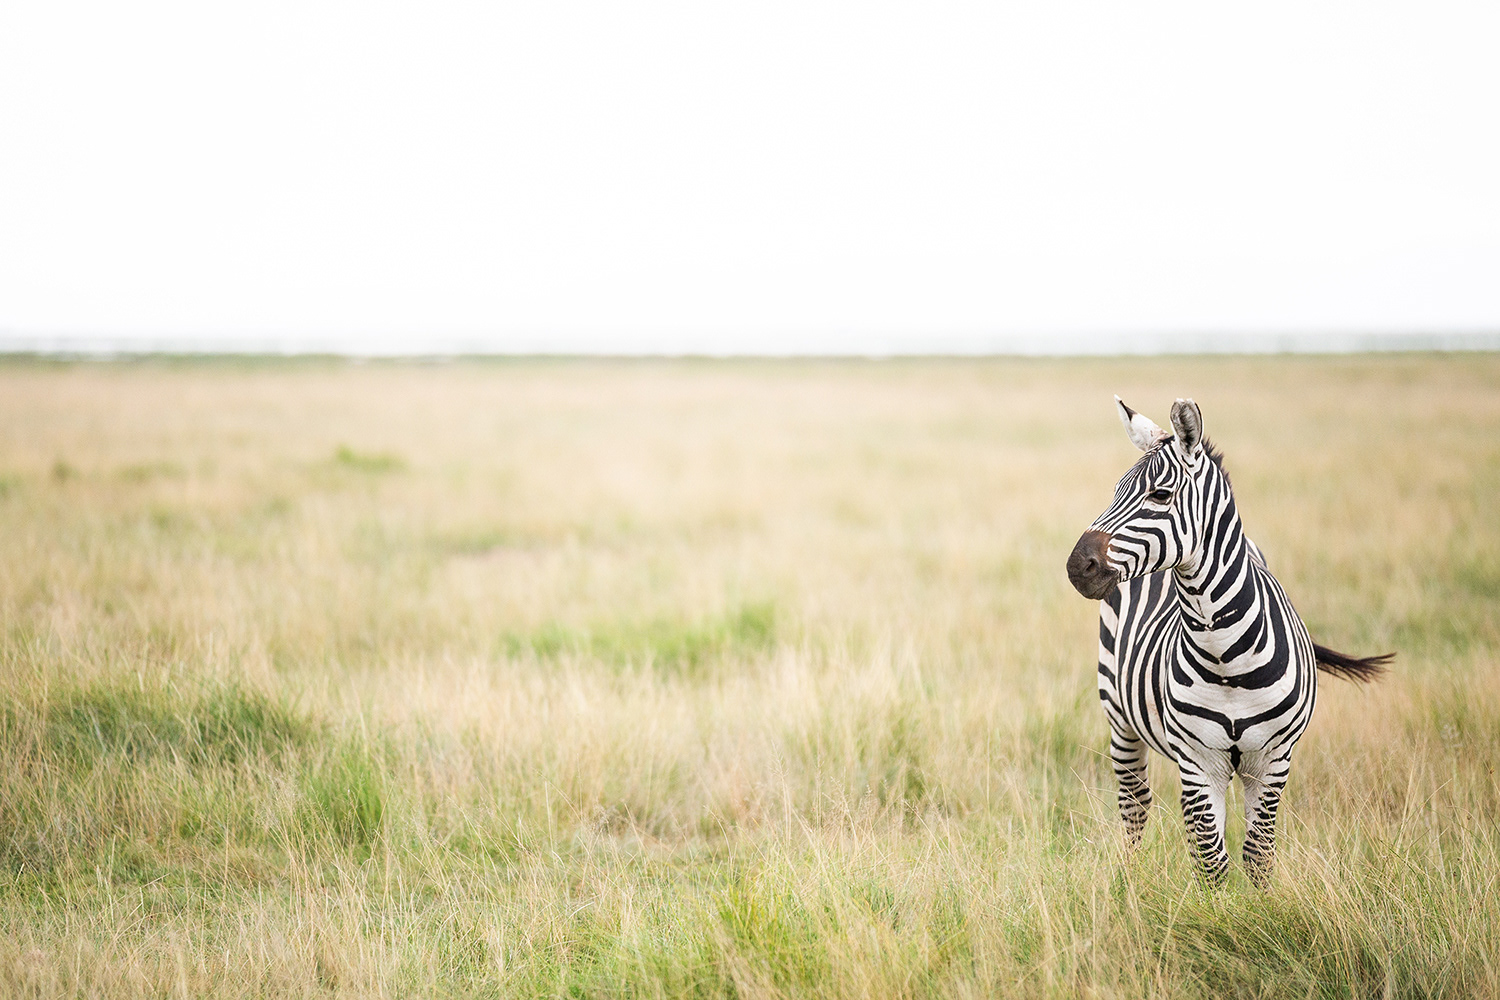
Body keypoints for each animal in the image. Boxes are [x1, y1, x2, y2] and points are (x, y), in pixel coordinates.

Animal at [1065, 396, 1390, 885]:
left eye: (1160, 495)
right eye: (1116, 490)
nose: (1076, 566)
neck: (1226, 657)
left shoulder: (1272, 761)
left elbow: (1257, 855)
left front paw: (1259, 906)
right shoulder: (1199, 761)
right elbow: (1210, 861)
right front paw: (1215, 907)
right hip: (1119, 718)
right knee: (1134, 805)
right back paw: (1130, 881)